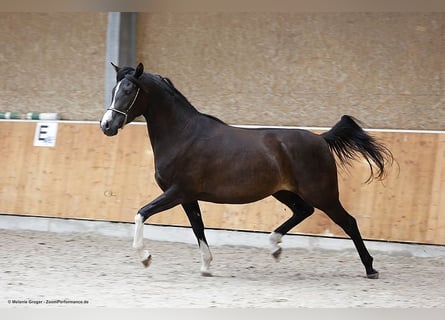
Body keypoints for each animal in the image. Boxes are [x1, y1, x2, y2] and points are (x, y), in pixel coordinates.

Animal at [99, 62, 390, 278]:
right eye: (114, 89)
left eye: (128, 91)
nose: (106, 125)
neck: (183, 135)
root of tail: (320, 139)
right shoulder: (188, 197)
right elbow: (198, 227)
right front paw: (206, 266)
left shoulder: (177, 192)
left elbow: (141, 213)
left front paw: (145, 257)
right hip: (284, 192)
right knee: (303, 211)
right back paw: (274, 247)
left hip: (323, 194)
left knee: (348, 222)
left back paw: (370, 268)